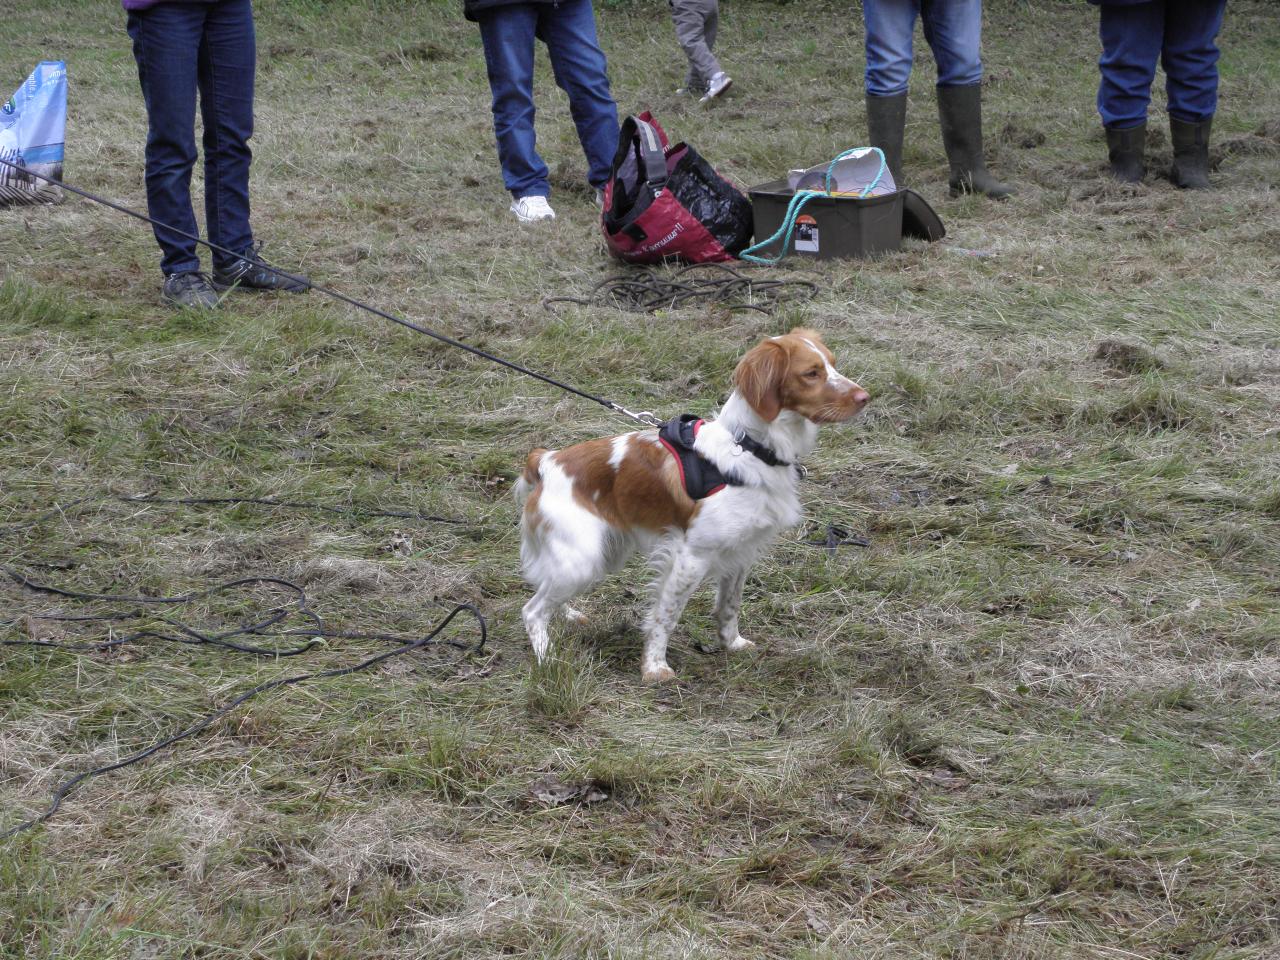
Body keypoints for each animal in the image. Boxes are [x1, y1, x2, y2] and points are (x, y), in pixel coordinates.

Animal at [512, 330, 870, 686]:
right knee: (532, 611)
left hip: (602, 554)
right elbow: (666, 616)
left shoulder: (740, 552)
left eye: (833, 364)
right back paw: (550, 662)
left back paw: (569, 615)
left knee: (546, 589)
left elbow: (729, 605)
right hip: (583, 559)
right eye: (811, 373)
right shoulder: (691, 556)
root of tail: (546, 461)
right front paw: (654, 668)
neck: (750, 448)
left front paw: (732, 643)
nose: (865, 397)